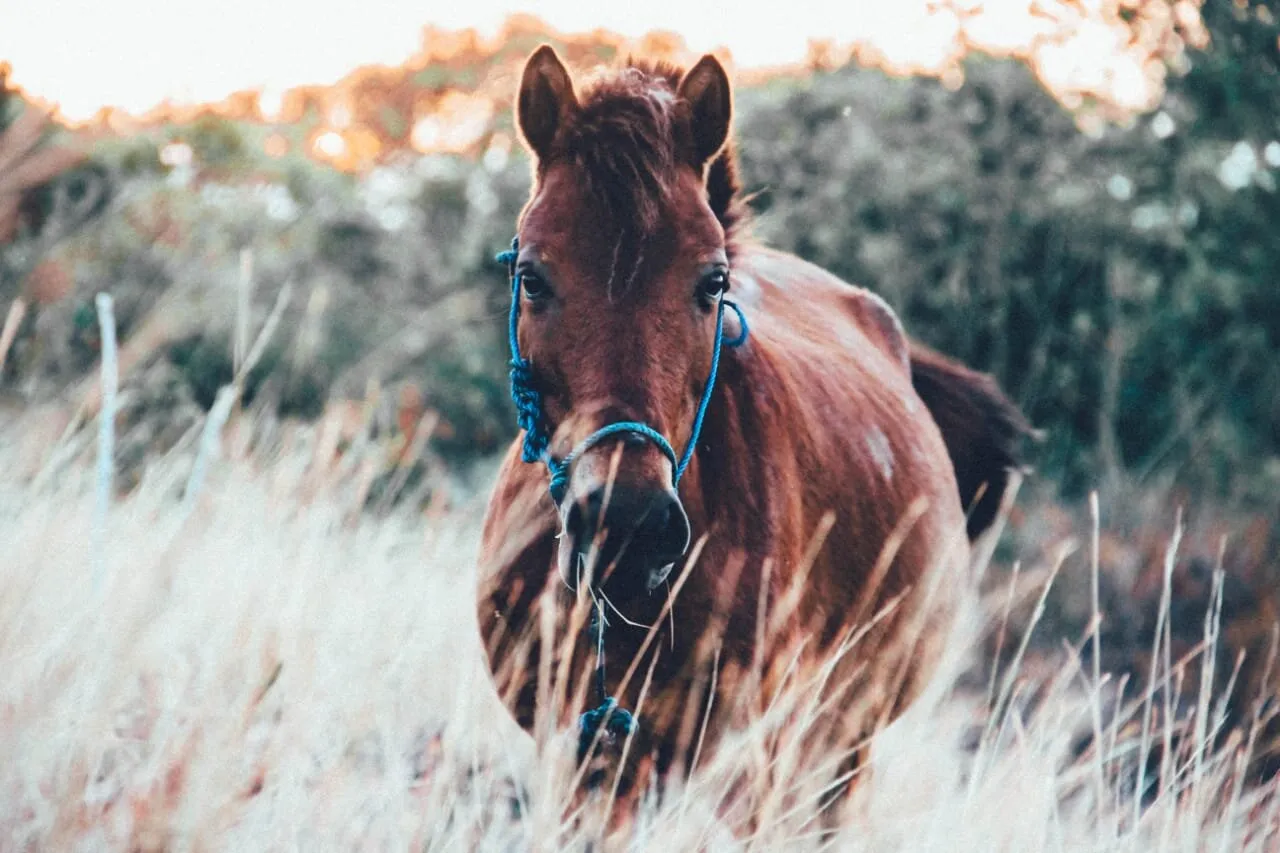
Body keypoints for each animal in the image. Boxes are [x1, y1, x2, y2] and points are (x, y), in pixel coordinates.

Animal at [473, 44, 1034, 827]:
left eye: (712, 282)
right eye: (531, 276)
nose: (627, 524)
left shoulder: (747, 762)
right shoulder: (583, 755)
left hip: (839, 749)